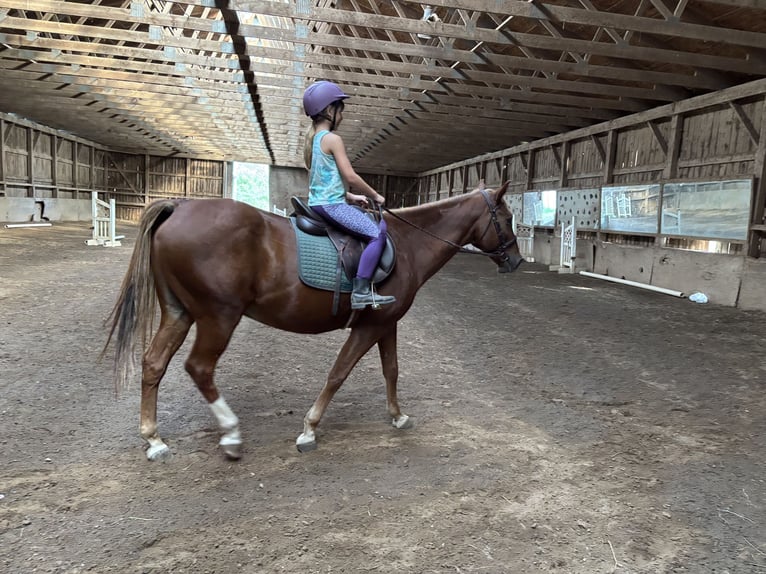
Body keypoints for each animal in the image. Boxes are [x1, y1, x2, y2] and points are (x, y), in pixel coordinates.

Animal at [105, 181, 524, 461]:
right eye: (505, 217)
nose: (517, 262)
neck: (407, 245)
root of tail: (180, 206)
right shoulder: (369, 327)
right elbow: (338, 373)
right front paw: (309, 429)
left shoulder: (387, 323)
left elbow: (391, 370)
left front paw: (398, 416)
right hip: (217, 317)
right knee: (199, 368)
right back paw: (231, 435)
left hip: (179, 313)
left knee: (154, 363)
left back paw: (154, 440)